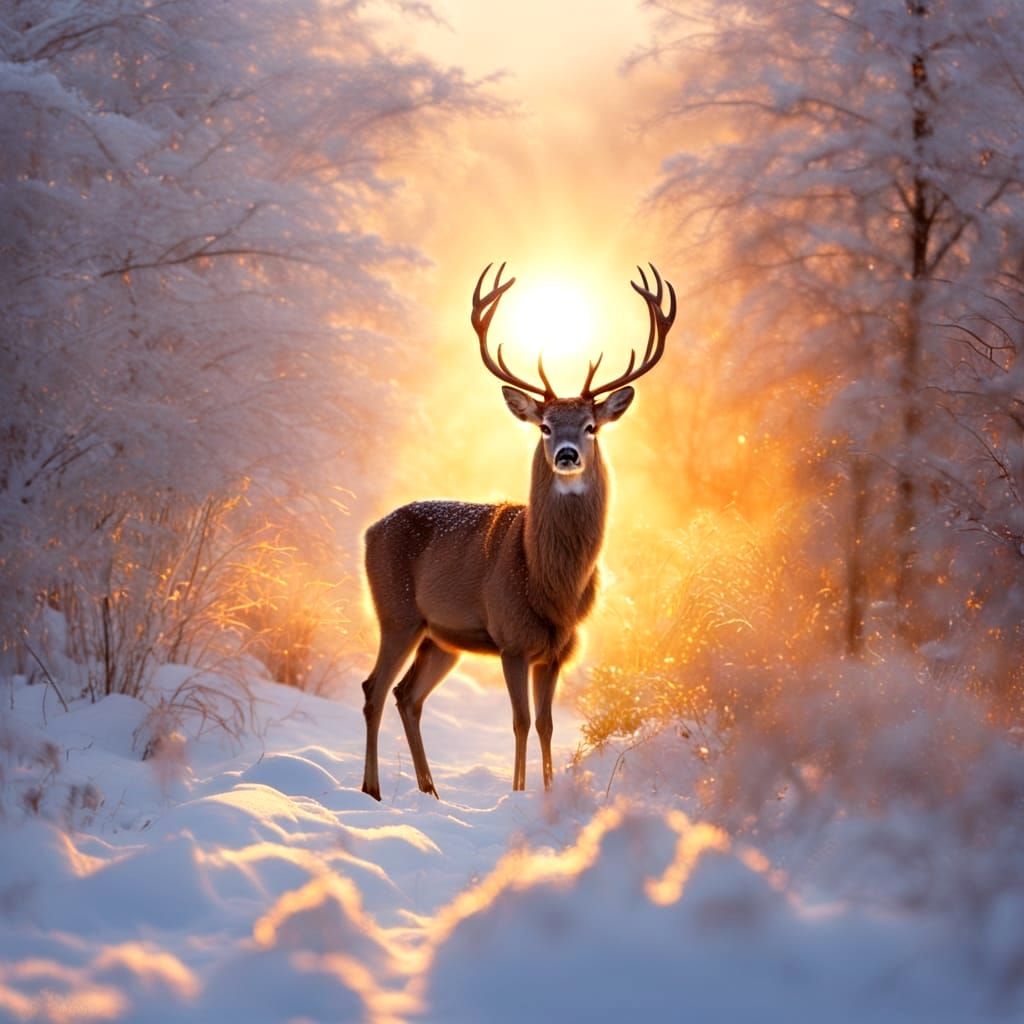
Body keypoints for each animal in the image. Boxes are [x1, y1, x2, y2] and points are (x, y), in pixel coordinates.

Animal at [359, 263, 676, 801]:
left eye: (591, 426)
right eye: (544, 426)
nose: (566, 454)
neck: (549, 584)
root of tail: (368, 533)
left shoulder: (557, 650)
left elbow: (546, 723)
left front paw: (546, 791)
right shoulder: (511, 639)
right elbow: (521, 721)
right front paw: (519, 791)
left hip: (441, 637)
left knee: (407, 695)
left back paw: (430, 790)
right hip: (396, 611)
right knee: (374, 690)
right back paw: (373, 790)